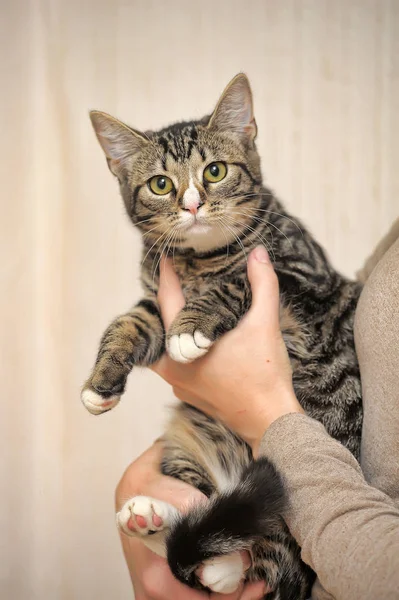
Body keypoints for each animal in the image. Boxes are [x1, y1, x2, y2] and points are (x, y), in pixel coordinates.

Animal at [83, 75, 364, 600]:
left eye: (214, 171)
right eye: (160, 184)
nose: (192, 204)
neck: (198, 261)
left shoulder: (302, 275)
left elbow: (235, 281)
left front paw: (192, 326)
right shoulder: (155, 297)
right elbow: (129, 323)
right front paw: (100, 382)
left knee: (266, 550)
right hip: (184, 447)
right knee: (215, 529)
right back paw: (157, 524)